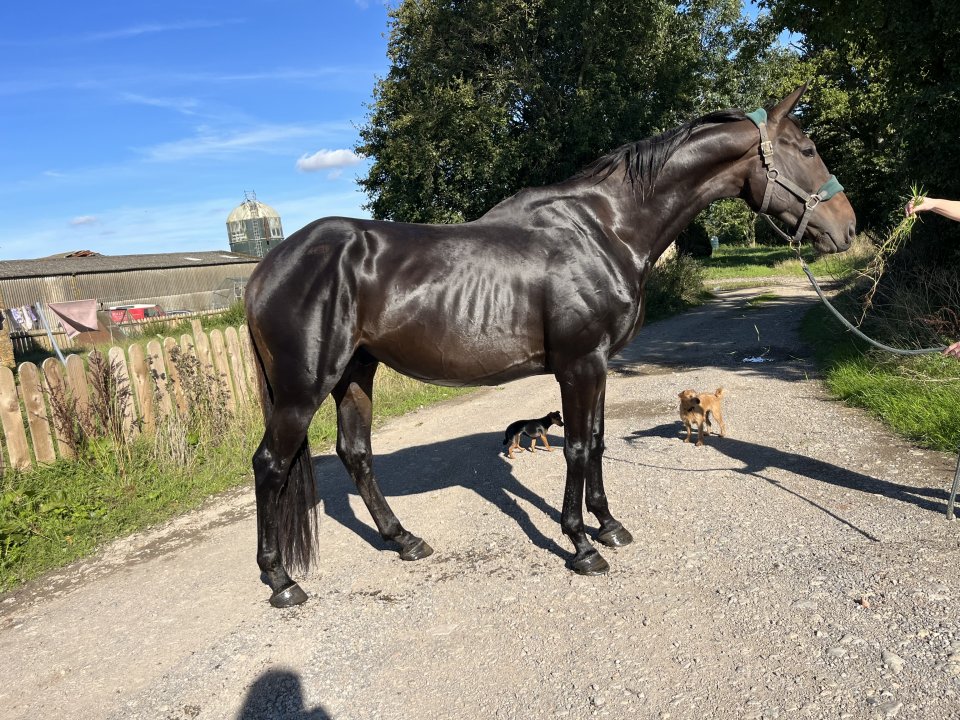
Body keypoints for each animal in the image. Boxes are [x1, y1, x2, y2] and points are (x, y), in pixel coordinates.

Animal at [246, 85, 856, 608]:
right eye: (807, 149)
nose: (847, 228)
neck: (607, 229)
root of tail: (266, 269)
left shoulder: (600, 365)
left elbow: (599, 443)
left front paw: (609, 527)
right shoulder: (579, 365)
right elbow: (578, 449)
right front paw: (581, 546)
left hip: (356, 373)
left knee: (356, 454)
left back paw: (404, 540)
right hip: (303, 390)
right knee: (270, 464)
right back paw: (281, 581)